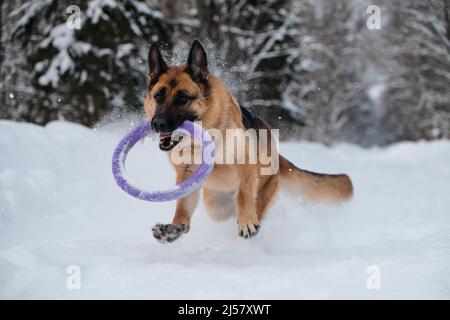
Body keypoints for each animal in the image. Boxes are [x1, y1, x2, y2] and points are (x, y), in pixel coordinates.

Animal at [146, 40, 354, 242]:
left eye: (183, 97)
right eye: (159, 96)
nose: (157, 123)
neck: (207, 136)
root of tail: (277, 155)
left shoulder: (245, 164)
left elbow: (244, 194)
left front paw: (246, 222)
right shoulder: (187, 174)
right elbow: (182, 206)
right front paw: (174, 228)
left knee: (252, 204)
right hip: (216, 205)